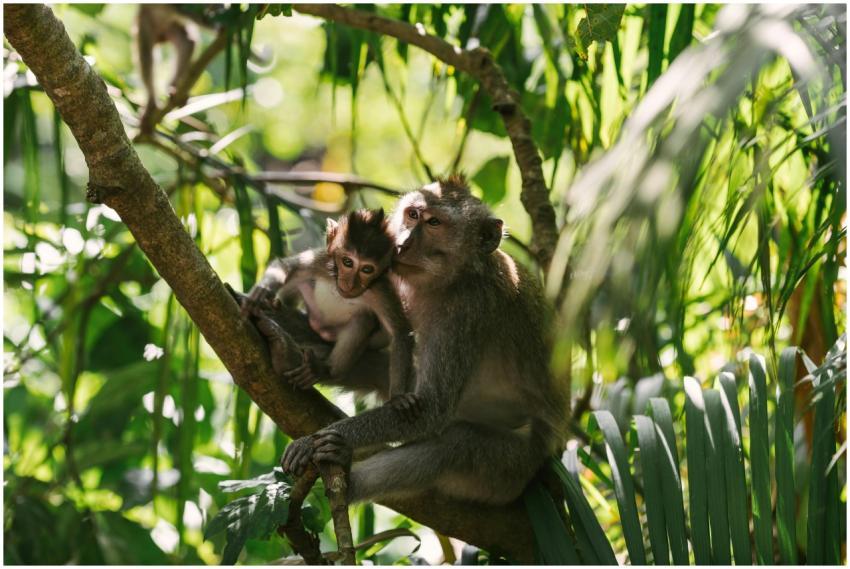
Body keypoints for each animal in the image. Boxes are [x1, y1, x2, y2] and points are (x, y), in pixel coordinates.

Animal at [242, 209, 417, 408]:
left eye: (367, 269)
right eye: (347, 262)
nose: (350, 283)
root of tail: (321, 329)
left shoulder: (380, 290)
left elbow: (400, 332)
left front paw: (397, 395)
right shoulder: (322, 262)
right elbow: (287, 267)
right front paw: (262, 291)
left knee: (364, 319)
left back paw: (323, 371)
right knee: (301, 279)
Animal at [260, 174, 570, 506]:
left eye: (434, 223)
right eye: (412, 214)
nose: (403, 243)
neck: (453, 278)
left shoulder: (466, 311)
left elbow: (431, 409)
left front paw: (311, 442)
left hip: (509, 469)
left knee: (453, 446)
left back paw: (346, 472)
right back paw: (286, 355)